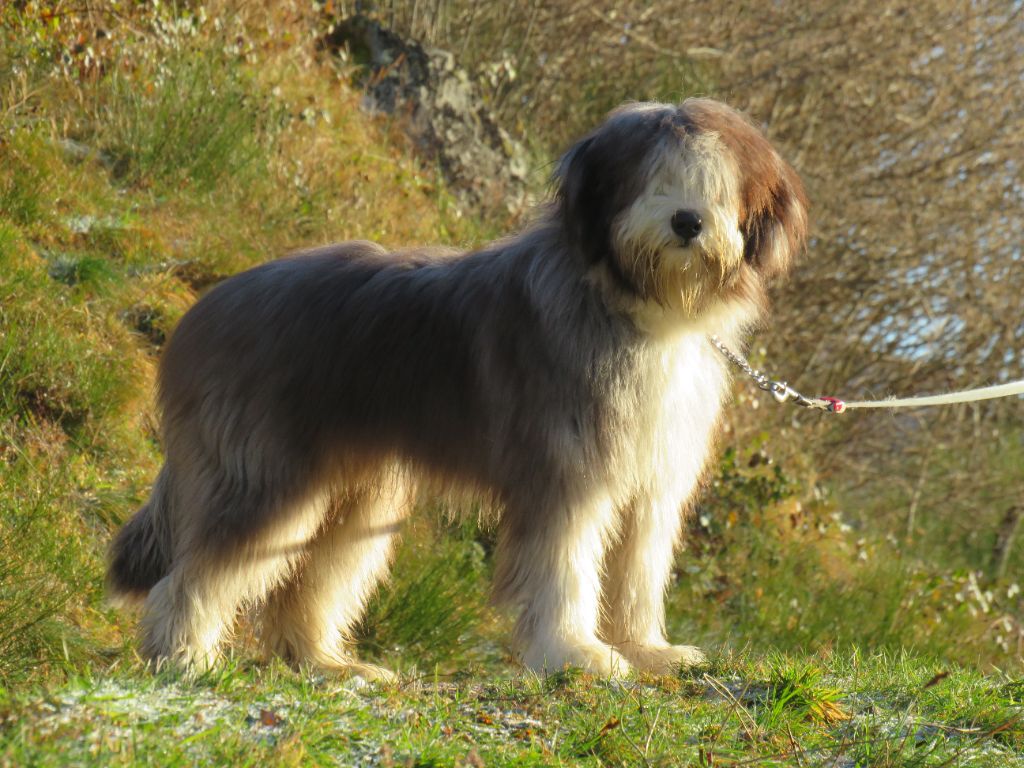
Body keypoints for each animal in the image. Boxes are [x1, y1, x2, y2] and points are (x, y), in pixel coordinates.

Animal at [105, 99, 806, 684]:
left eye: (716, 187)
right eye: (653, 176)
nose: (687, 221)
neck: (637, 308)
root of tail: (206, 307)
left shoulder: (652, 480)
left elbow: (638, 570)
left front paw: (646, 650)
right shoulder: (567, 474)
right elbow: (564, 566)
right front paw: (573, 653)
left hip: (354, 496)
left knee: (311, 582)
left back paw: (328, 664)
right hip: (265, 476)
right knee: (201, 571)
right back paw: (182, 656)